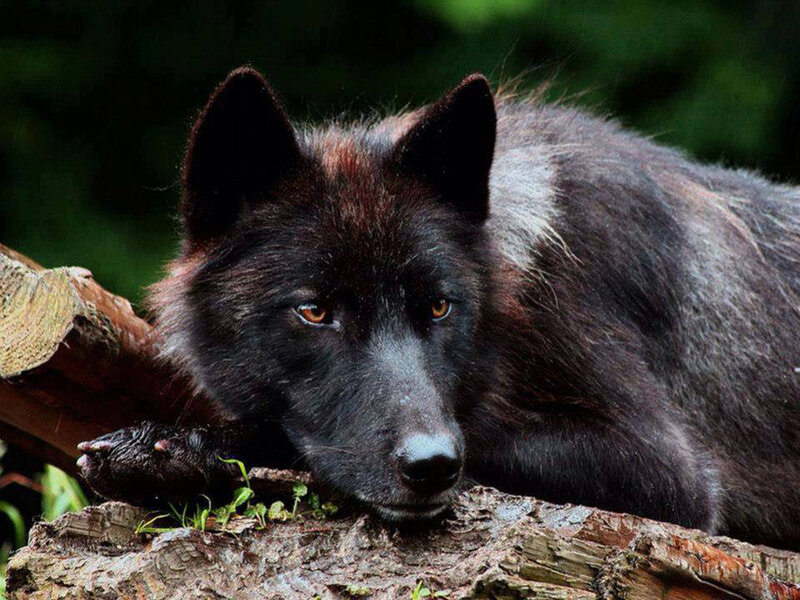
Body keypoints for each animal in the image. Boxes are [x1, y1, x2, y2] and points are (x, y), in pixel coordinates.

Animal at [77, 67, 800, 548]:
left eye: (437, 309)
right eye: (314, 313)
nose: (431, 466)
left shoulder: (671, 473)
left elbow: (289, 437)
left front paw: (175, 448)